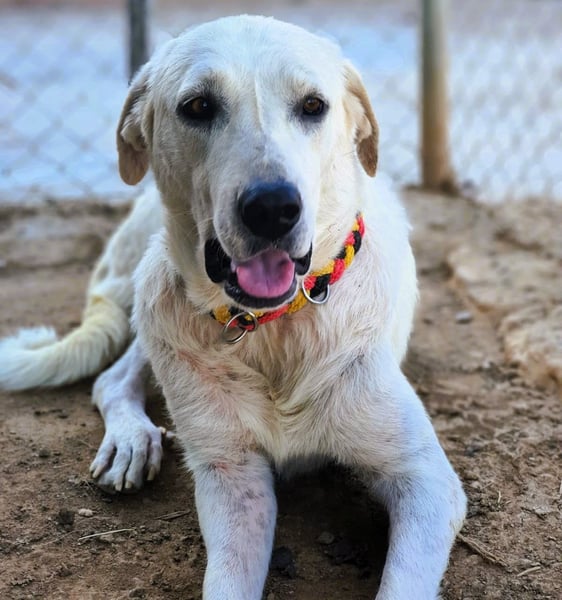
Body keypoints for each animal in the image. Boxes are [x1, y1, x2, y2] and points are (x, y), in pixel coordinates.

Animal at [0, 16, 466, 599]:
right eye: (198, 106)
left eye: (314, 105)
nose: (272, 208)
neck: (273, 330)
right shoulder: (232, 476)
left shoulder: (425, 481)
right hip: (155, 300)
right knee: (113, 376)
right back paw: (130, 441)